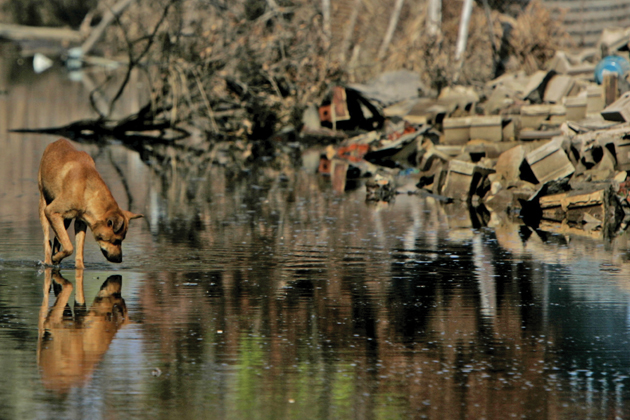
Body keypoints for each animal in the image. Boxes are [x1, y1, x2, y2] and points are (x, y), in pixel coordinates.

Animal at [39, 139, 144, 270]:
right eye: (116, 240)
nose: (120, 260)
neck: (86, 190)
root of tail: (56, 142)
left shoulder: (80, 222)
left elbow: (78, 250)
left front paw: (79, 267)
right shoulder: (51, 211)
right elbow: (69, 247)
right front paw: (55, 258)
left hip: (66, 220)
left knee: (57, 239)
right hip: (44, 206)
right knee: (46, 240)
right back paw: (49, 260)